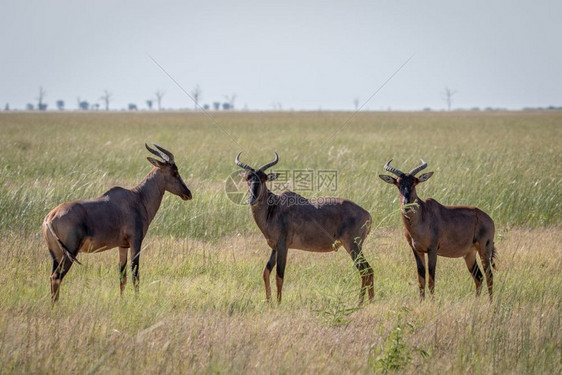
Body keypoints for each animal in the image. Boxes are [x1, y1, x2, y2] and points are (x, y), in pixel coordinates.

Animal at [41, 144, 190, 302]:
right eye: (174, 172)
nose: (188, 193)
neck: (137, 197)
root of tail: (50, 217)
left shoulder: (122, 246)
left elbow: (122, 276)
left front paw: (122, 301)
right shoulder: (135, 241)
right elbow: (135, 274)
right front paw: (136, 301)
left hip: (56, 253)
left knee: (53, 277)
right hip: (70, 251)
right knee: (56, 277)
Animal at [234, 153, 374, 306]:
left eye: (264, 178)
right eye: (247, 178)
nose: (252, 199)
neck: (274, 207)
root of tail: (367, 214)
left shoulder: (283, 246)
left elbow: (279, 275)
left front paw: (278, 303)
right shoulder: (275, 248)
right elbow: (266, 272)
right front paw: (268, 301)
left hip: (353, 246)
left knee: (365, 270)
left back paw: (360, 302)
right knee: (369, 270)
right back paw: (371, 301)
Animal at [376, 160, 494, 302]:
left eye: (414, 183)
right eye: (398, 184)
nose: (407, 206)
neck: (422, 215)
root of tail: (488, 219)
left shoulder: (432, 250)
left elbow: (431, 280)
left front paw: (432, 303)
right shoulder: (417, 251)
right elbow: (421, 280)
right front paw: (421, 302)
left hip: (484, 249)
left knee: (489, 276)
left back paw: (491, 303)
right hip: (469, 253)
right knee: (479, 277)